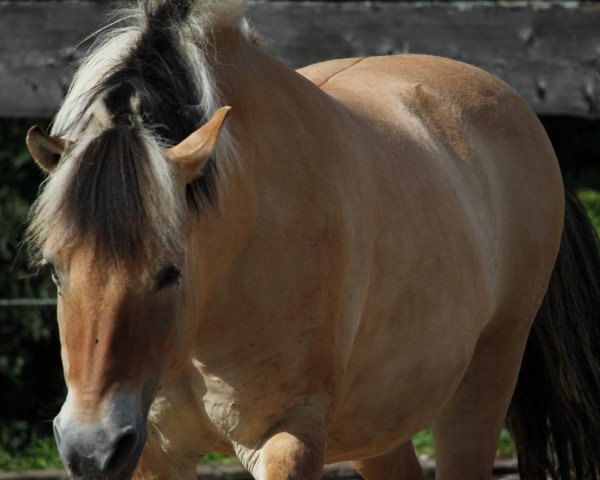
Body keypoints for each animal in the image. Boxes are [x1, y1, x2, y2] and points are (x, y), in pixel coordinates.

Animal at [25, 0, 600, 480]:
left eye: (169, 271)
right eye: (55, 270)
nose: (89, 448)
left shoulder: (288, 435)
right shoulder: (154, 450)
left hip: (483, 383)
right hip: (377, 422)